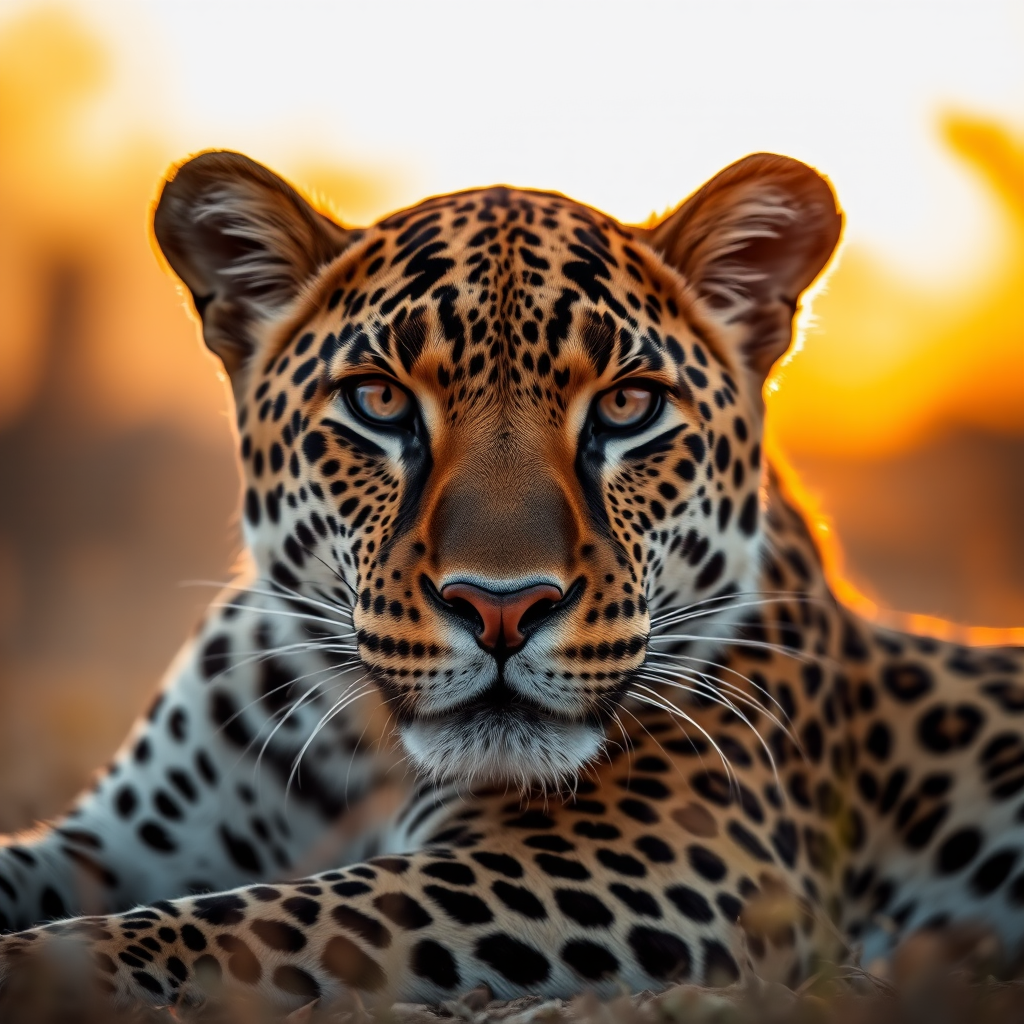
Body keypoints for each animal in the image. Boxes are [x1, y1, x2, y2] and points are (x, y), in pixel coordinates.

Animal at [0, 148, 1021, 1017]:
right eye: (379, 400)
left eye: (628, 405)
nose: (501, 608)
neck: (370, 754)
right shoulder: (117, 841)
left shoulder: (665, 861)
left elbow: (269, 919)